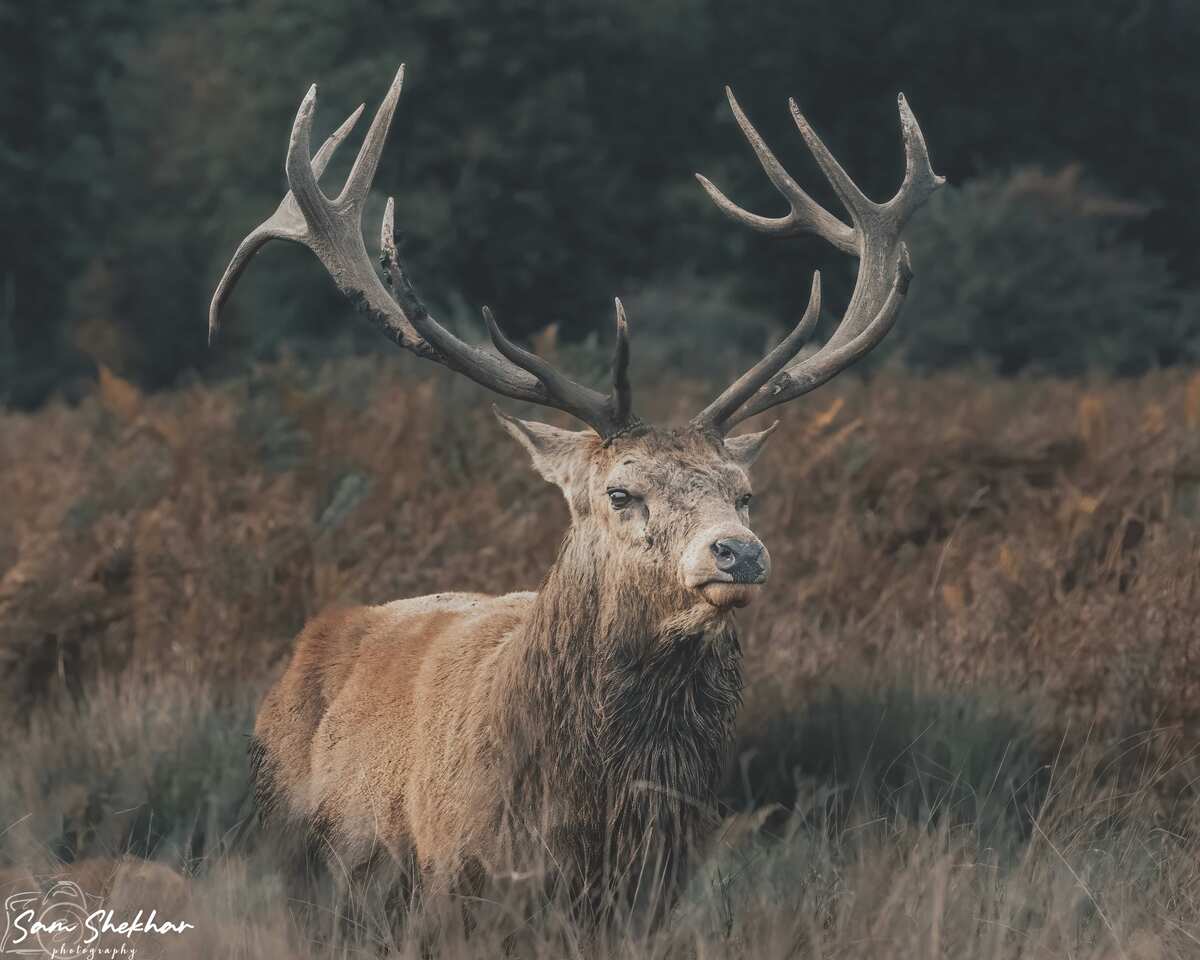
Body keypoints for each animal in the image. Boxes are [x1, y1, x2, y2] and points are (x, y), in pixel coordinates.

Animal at [208, 64, 942, 921]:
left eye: (746, 491)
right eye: (621, 492)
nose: (738, 552)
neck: (583, 823)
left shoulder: (652, 896)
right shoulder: (457, 886)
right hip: (298, 862)